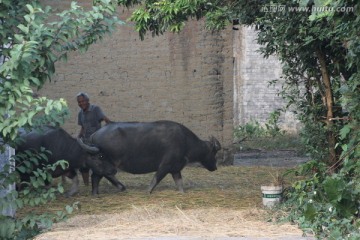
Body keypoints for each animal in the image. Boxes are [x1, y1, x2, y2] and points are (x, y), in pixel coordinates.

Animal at [77, 120, 221, 195]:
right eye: (213, 152)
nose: (215, 167)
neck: (186, 141)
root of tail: (94, 134)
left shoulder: (175, 168)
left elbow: (179, 182)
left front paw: (182, 192)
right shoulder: (165, 166)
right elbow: (156, 178)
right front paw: (148, 191)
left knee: (98, 176)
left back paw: (98, 192)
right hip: (106, 163)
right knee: (99, 175)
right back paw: (113, 188)